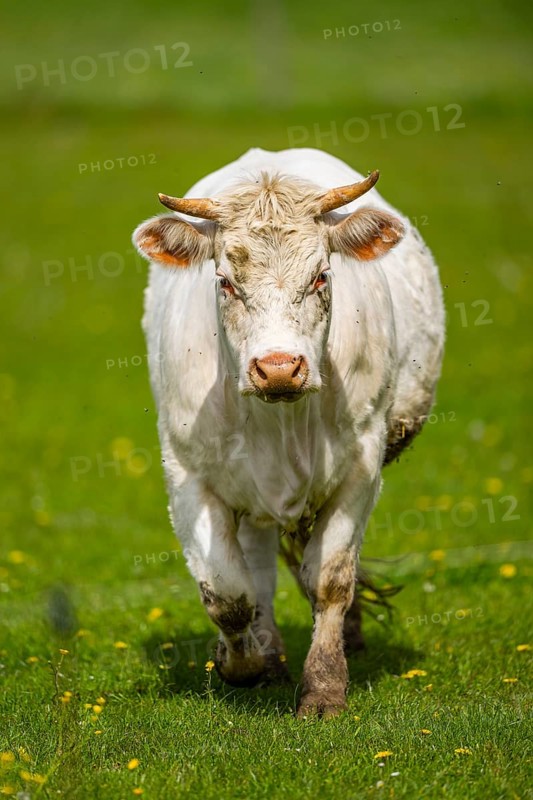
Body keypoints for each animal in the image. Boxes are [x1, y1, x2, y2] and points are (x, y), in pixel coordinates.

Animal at [133, 147, 445, 717]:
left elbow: (331, 579)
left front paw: (323, 687)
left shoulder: (360, 467)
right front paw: (241, 664)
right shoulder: (186, 472)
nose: (278, 368)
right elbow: (227, 594)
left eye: (321, 276)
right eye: (225, 281)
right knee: (255, 563)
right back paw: (269, 652)